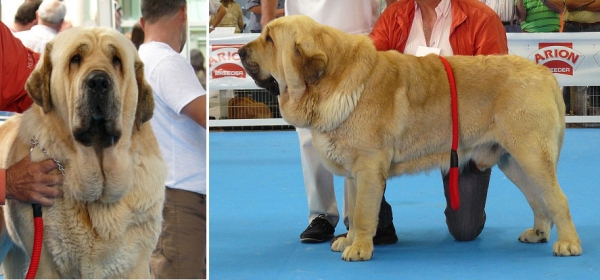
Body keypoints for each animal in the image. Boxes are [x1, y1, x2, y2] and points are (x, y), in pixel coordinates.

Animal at [238, 14, 580, 260]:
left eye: (269, 39)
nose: (240, 51)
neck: (331, 80)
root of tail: (544, 75)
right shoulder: (354, 174)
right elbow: (354, 210)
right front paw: (348, 240)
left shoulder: (368, 168)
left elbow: (363, 212)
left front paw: (359, 249)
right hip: (512, 161)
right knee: (538, 199)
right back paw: (538, 232)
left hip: (531, 154)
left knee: (558, 199)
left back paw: (568, 244)